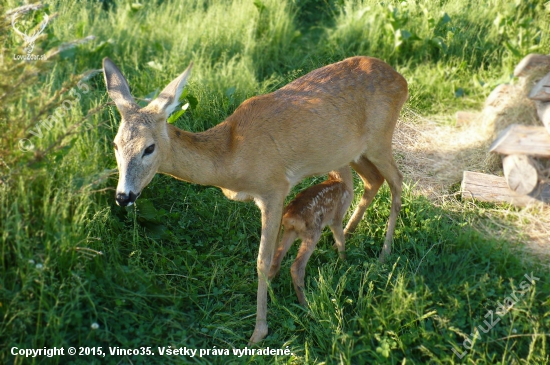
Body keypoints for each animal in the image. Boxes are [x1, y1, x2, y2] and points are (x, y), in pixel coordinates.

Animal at [270, 166, 356, 304]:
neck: (340, 180)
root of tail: (290, 218)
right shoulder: (336, 217)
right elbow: (340, 240)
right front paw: (344, 262)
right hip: (313, 232)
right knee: (296, 267)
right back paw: (306, 304)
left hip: (291, 232)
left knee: (275, 260)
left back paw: (272, 296)